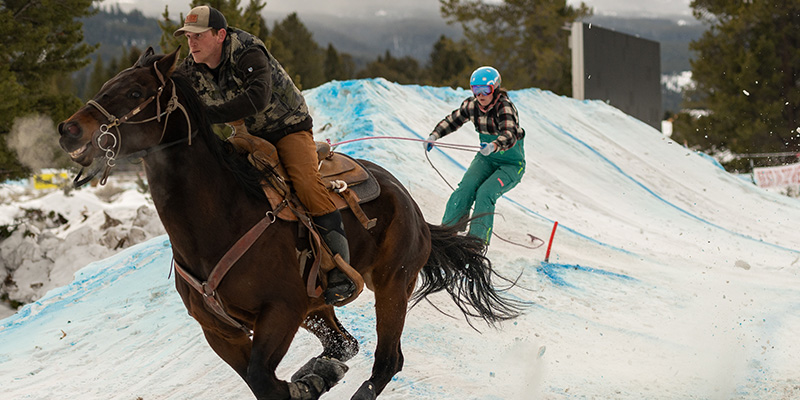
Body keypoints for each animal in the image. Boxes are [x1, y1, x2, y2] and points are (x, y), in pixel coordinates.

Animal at [54, 47, 520, 400]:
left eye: (134, 91)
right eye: (104, 86)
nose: (68, 129)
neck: (218, 219)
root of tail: (413, 208)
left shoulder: (281, 311)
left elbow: (264, 380)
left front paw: (304, 384)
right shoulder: (220, 332)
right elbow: (262, 382)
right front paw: (311, 380)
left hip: (391, 286)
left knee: (387, 360)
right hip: (320, 305)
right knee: (344, 344)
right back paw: (322, 370)